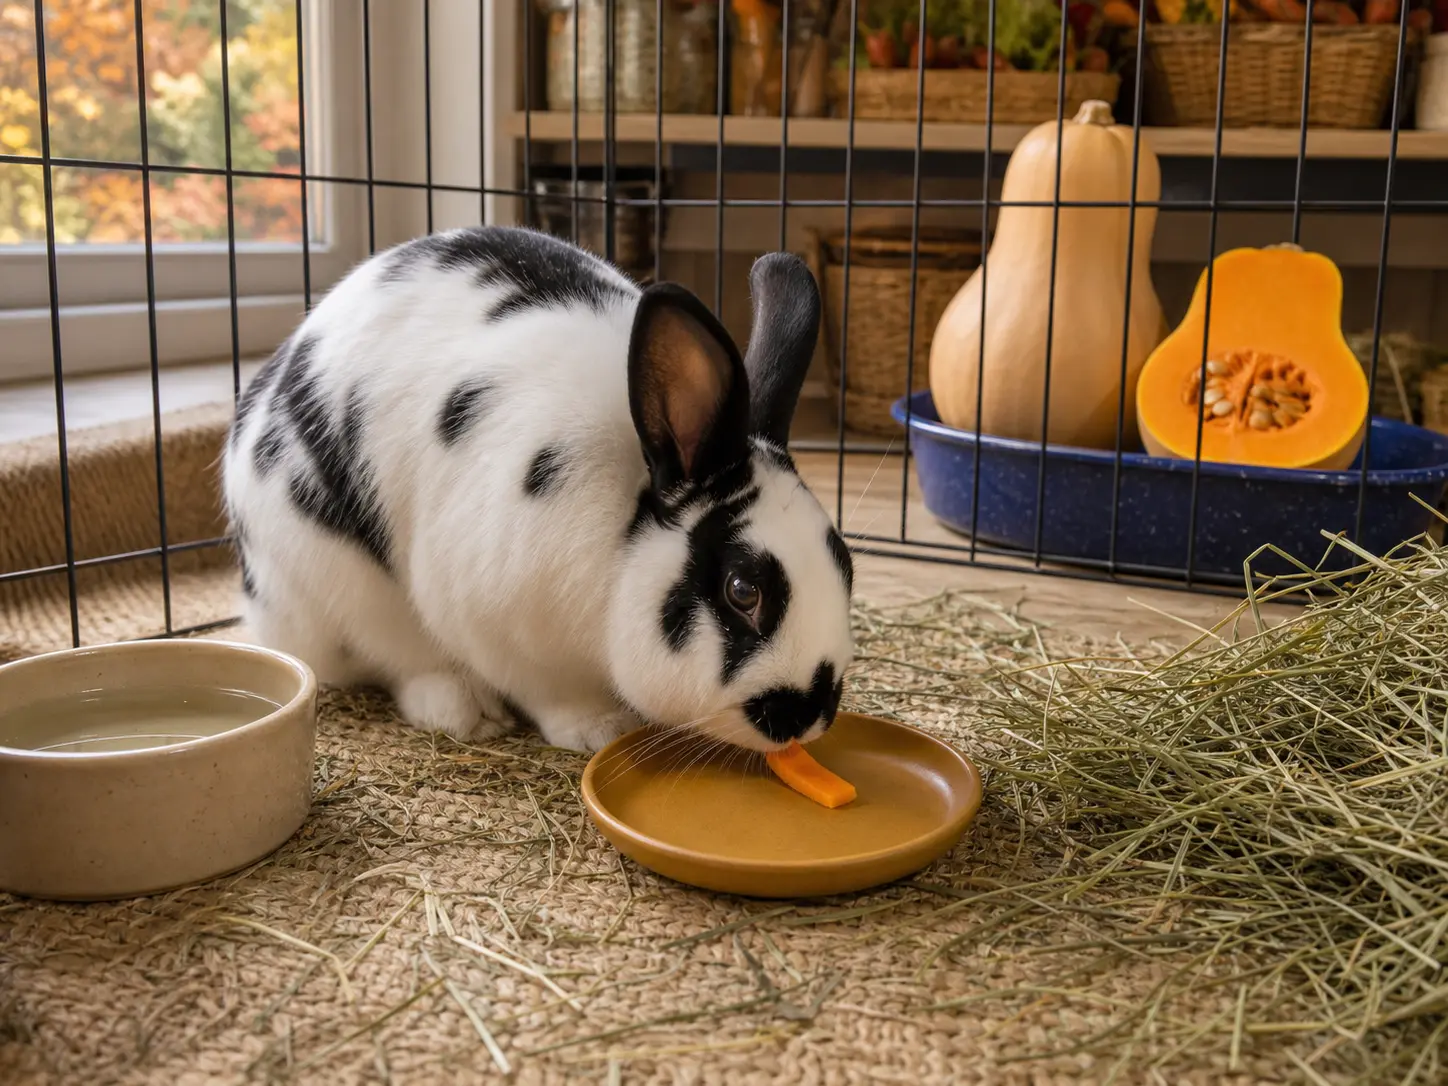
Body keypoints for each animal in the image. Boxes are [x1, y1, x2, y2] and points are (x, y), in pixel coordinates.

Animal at [222, 225, 855, 753]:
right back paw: (465, 709)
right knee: (397, 655)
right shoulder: (498, 627)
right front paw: (600, 730)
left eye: (846, 563)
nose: (809, 715)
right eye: (743, 590)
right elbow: (549, 691)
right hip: (343, 587)